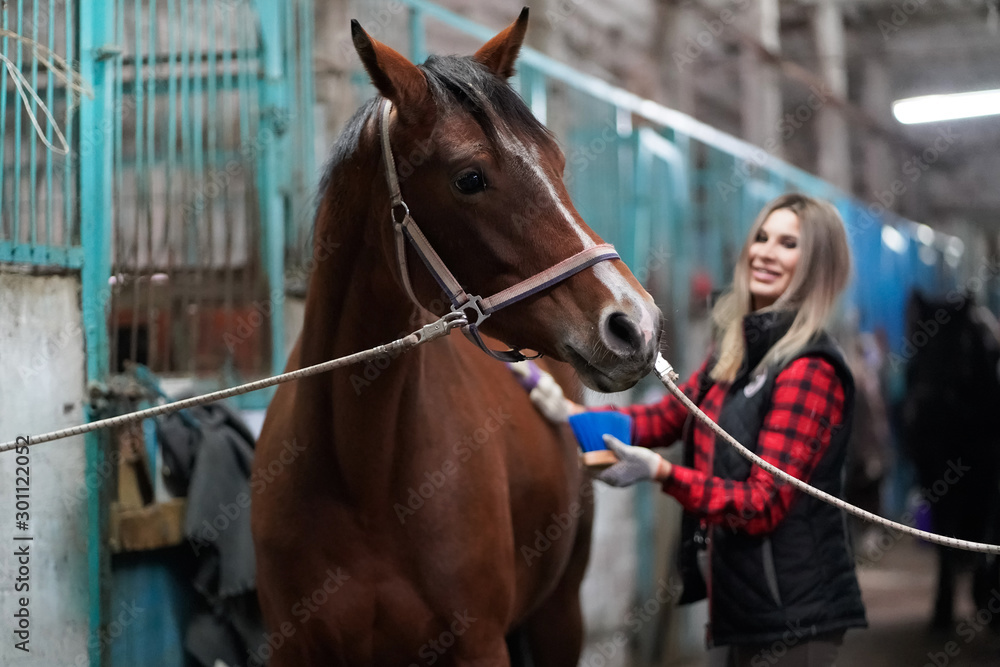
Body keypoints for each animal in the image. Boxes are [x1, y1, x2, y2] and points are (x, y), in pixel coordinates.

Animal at [250, 9, 662, 665]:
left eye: (557, 161)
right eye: (469, 179)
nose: (634, 323)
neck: (362, 473)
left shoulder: (479, 643)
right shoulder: (293, 647)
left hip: (561, 613)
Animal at [900, 289, 1000, 629]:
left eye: (961, 348)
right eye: (917, 346)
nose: (921, 412)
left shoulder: (990, 473)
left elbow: (985, 530)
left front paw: (983, 595)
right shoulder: (933, 474)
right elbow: (945, 532)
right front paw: (942, 607)